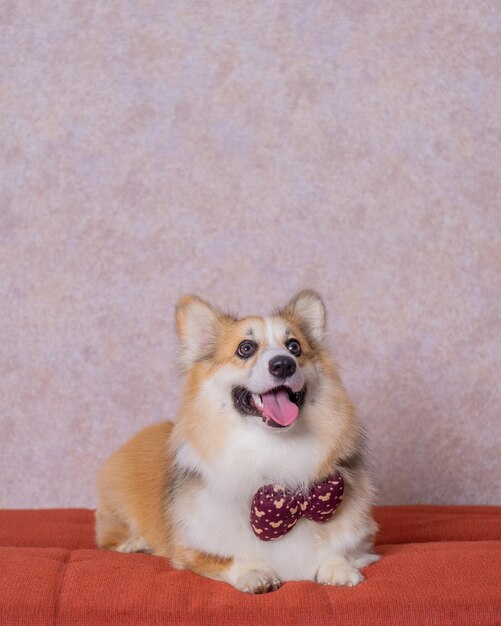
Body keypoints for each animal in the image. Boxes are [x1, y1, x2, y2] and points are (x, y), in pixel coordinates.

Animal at [95, 290, 376, 592]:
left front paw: (339, 569)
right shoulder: (192, 547)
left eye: (294, 347)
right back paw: (135, 543)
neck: (272, 447)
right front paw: (254, 572)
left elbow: (340, 551)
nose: (283, 364)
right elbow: (227, 557)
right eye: (246, 348)